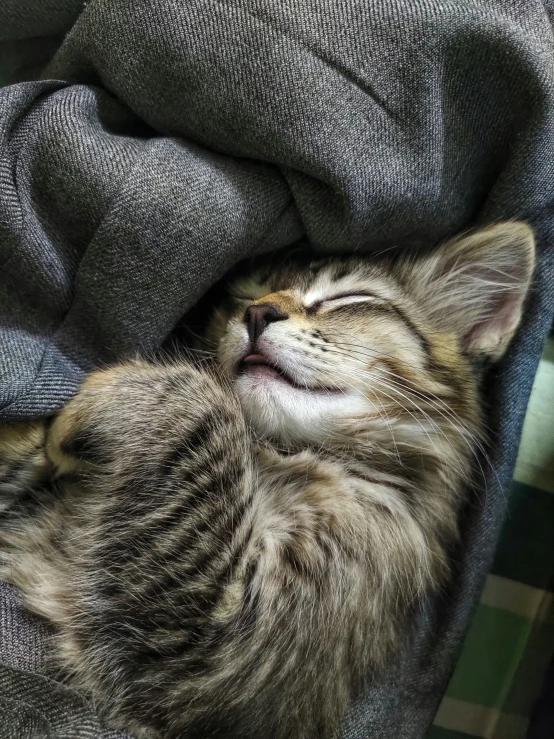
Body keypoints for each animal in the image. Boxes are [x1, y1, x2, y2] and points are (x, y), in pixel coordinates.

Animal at [0, 224, 536, 739]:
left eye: (350, 299)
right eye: (246, 295)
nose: (258, 313)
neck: (278, 452)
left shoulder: (212, 651)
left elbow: (202, 398)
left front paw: (94, 402)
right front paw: (32, 440)